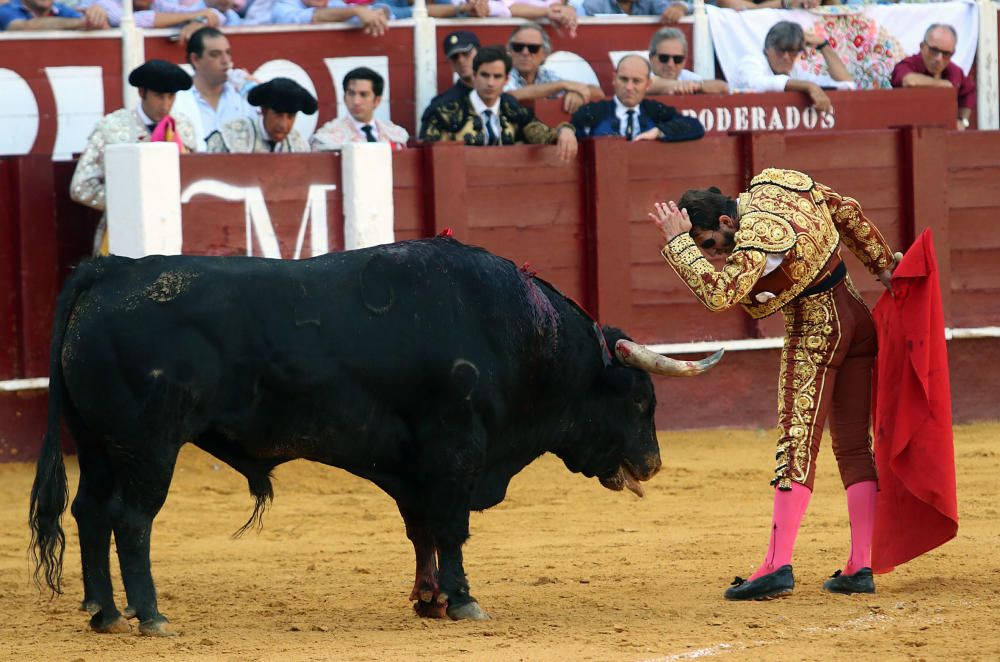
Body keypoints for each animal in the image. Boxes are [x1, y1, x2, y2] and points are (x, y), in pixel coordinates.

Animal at [29, 239, 720, 640]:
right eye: (640, 400)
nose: (652, 464)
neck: (521, 336)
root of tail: (107, 272)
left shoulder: (414, 464)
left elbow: (422, 531)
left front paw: (428, 599)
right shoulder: (456, 450)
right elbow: (451, 528)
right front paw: (463, 600)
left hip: (99, 445)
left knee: (89, 512)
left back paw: (103, 612)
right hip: (148, 445)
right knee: (132, 520)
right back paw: (149, 616)